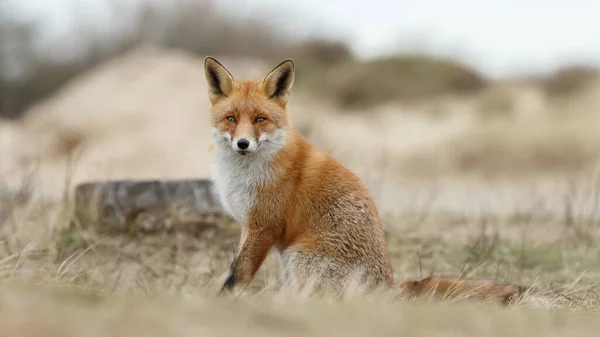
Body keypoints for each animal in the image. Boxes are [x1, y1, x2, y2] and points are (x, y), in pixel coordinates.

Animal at [204, 56, 396, 292]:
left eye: (260, 119)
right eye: (231, 118)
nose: (243, 143)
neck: (242, 176)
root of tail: (389, 287)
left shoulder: (264, 225)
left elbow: (238, 273)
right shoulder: (248, 224)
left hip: (294, 258)